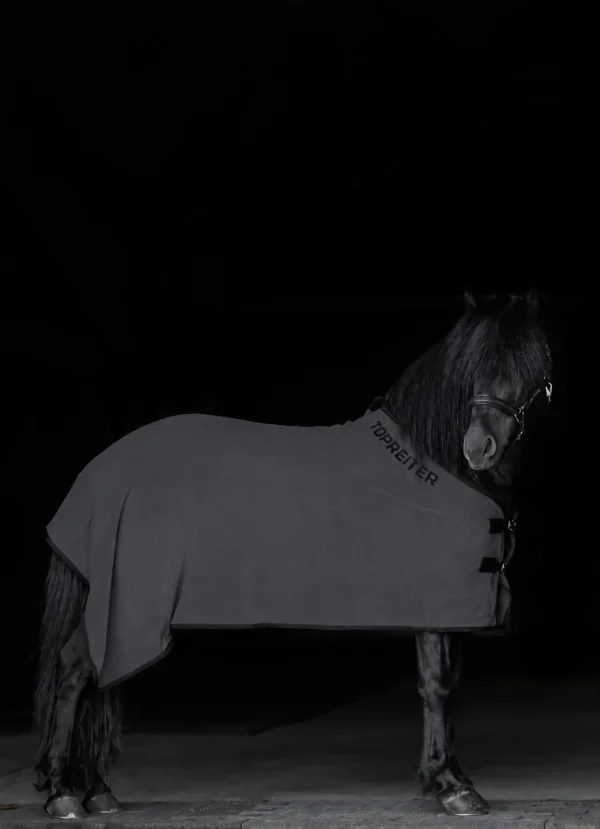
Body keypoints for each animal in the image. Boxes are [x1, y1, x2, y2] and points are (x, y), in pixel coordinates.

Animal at [33, 291, 554, 819]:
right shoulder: (434, 608)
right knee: (74, 670)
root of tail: (101, 467)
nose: (478, 449)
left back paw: (97, 791)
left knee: (101, 676)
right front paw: (449, 785)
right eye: (470, 366)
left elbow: (451, 688)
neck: (435, 463)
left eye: (526, 361)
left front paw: (450, 776)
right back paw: (61, 792)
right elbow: (437, 686)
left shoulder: (455, 611)